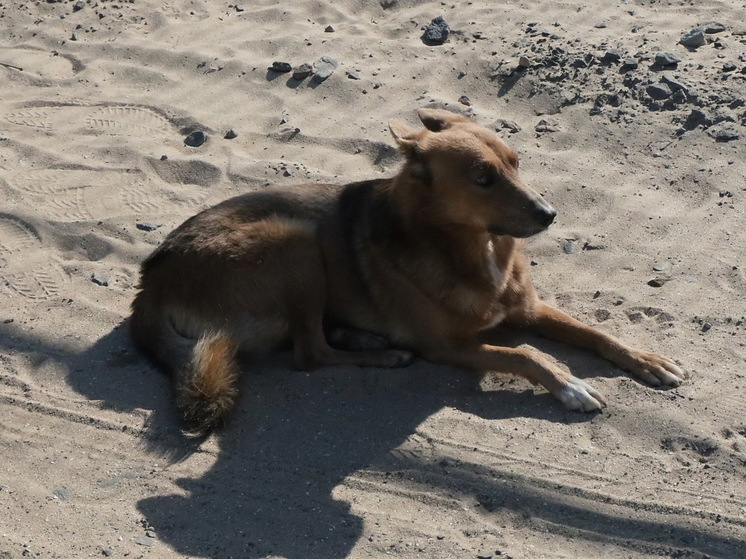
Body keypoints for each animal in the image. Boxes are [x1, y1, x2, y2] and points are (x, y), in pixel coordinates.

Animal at [131, 108, 684, 434]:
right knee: (308, 353)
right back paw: (383, 352)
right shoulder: (447, 345)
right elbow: (523, 354)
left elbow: (595, 333)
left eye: (517, 162)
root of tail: (150, 279)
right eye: (483, 178)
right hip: (294, 240)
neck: (473, 247)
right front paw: (569, 384)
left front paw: (646, 359)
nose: (550, 215)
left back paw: (362, 338)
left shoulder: (526, 307)